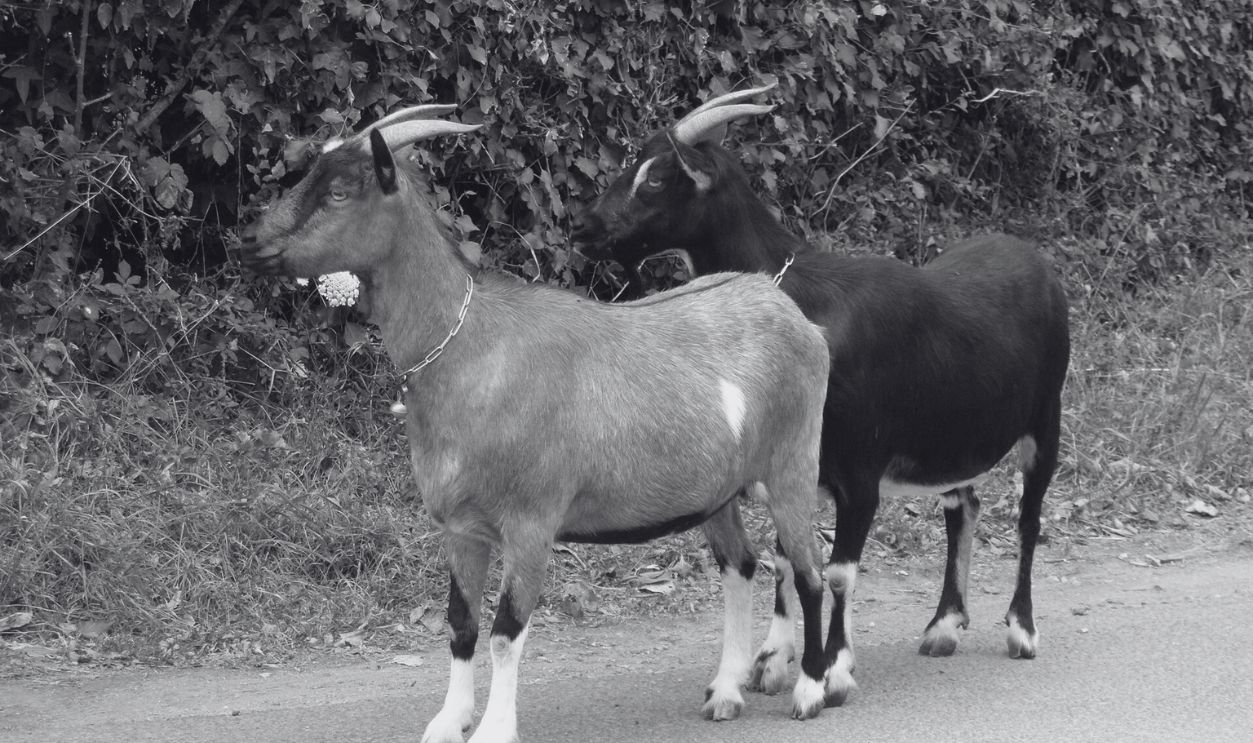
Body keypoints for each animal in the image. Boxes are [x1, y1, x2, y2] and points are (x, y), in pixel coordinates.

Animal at [238, 106, 834, 742]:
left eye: (340, 192)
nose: (248, 240)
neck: (470, 348)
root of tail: (786, 308)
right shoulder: (461, 527)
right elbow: (461, 623)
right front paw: (449, 720)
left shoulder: (531, 522)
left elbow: (507, 632)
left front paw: (494, 730)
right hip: (718, 491)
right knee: (741, 567)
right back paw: (725, 691)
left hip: (793, 465)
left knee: (808, 571)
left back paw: (811, 688)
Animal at [572, 85, 1071, 705]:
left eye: (658, 178)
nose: (583, 227)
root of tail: (1038, 263)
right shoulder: (798, 463)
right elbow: (788, 559)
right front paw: (772, 661)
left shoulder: (859, 470)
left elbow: (836, 571)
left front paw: (832, 669)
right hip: (951, 439)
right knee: (965, 505)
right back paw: (944, 625)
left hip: (1044, 420)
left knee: (1029, 519)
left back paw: (1022, 630)